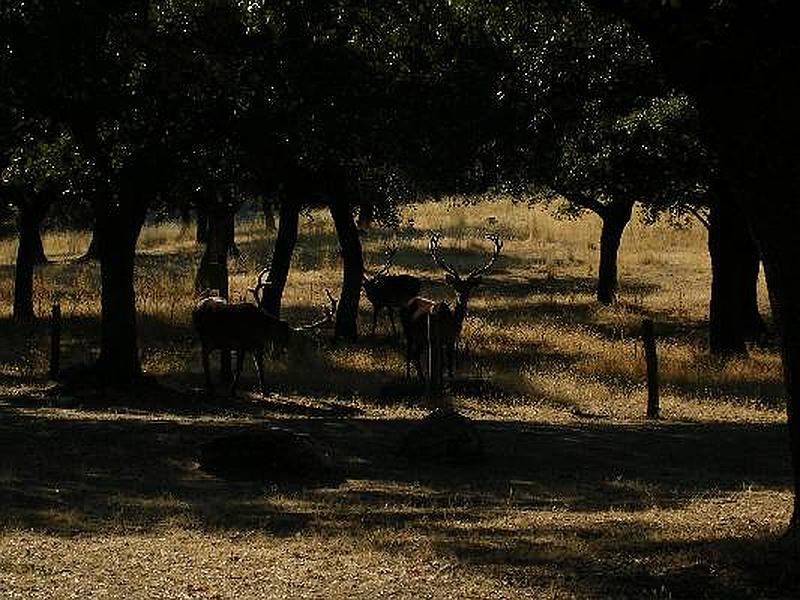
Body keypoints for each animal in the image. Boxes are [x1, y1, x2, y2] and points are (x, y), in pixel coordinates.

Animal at [195, 274, 338, 398]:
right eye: (285, 334)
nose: (284, 349)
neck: (261, 329)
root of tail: (197, 307)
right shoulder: (241, 344)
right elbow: (240, 368)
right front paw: (233, 390)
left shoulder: (257, 346)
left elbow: (260, 367)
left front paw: (265, 391)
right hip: (205, 338)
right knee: (204, 360)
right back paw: (210, 388)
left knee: (206, 359)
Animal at [404, 232, 504, 382]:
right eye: (456, 287)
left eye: (469, 288)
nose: (462, 298)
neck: (452, 323)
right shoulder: (439, 339)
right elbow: (442, 363)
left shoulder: (451, 339)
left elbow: (450, 363)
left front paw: (451, 377)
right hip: (409, 332)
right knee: (410, 353)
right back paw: (411, 377)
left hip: (420, 337)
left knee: (415, 355)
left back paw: (420, 377)